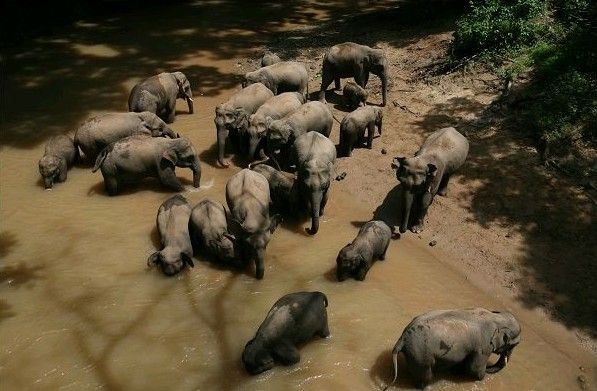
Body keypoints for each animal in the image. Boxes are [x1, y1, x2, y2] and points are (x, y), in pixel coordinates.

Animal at [384, 310, 520, 388]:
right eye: (514, 345)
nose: (489, 368)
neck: (495, 317)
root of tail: (402, 339)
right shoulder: (483, 346)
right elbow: (474, 369)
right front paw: (482, 377)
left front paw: (456, 372)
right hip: (421, 356)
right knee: (425, 377)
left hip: (415, 356)